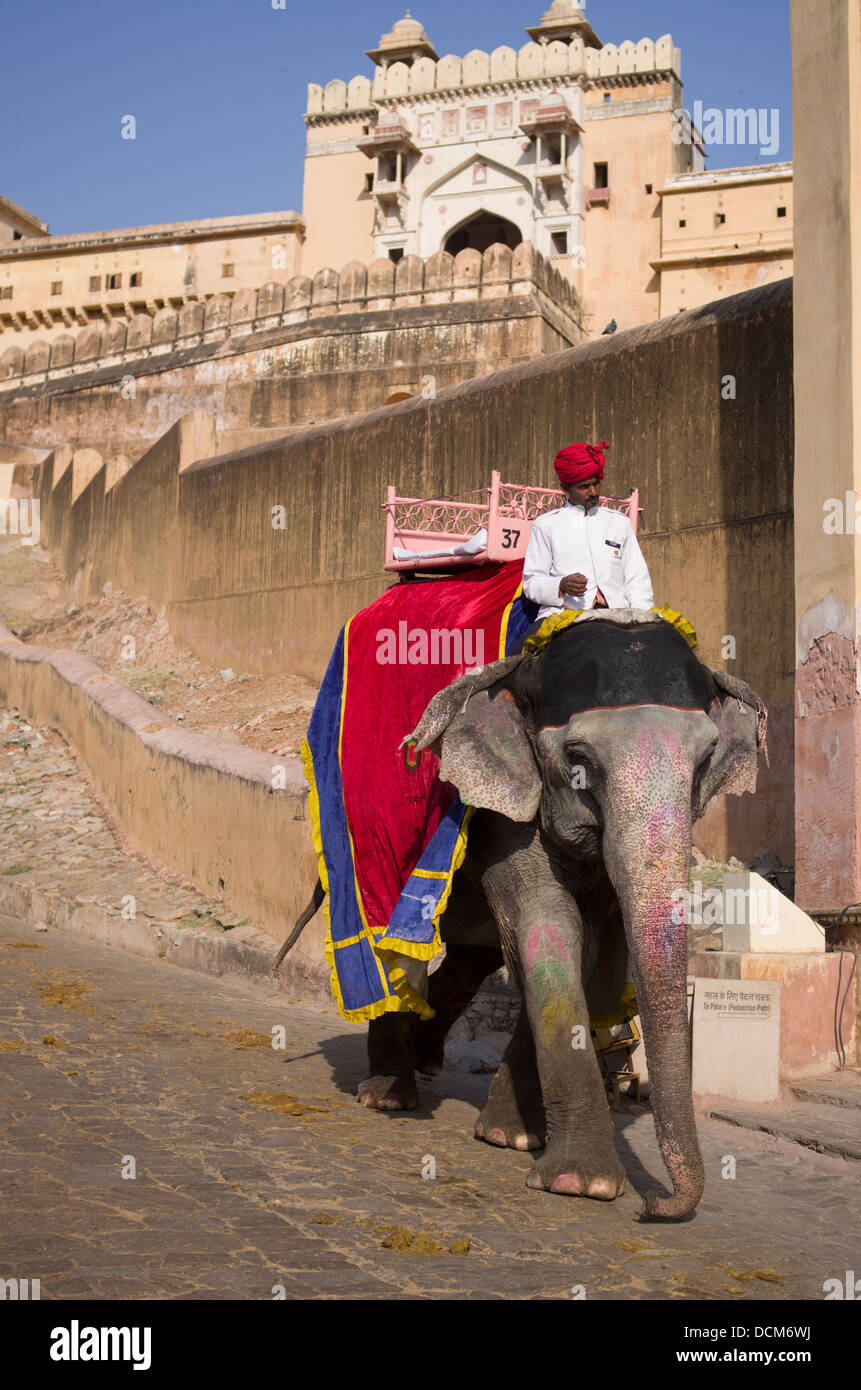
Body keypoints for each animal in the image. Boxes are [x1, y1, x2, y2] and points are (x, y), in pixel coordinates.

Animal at [353, 614, 773, 1223]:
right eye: (580, 757)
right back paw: (388, 1094)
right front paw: (585, 1183)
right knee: (388, 945)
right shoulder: (504, 804)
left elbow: (585, 943)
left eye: (705, 759)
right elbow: (548, 922)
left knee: (470, 962)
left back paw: (428, 1059)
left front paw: (512, 1138)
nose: (655, 1206)